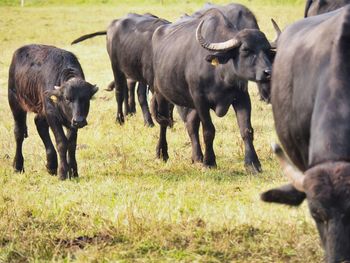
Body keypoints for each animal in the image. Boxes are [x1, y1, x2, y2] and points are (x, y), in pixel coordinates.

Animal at [8, 44, 98, 180]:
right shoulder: (52, 115)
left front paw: (74, 171)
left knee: (39, 123)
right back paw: (18, 166)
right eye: (67, 98)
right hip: (15, 103)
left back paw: (51, 165)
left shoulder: (71, 122)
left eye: (86, 99)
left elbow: (71, 144)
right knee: (19, 133)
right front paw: (63, 173)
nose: (80, 121)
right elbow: (62, 142)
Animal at [152, 7, 278, 172]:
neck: (221, 75)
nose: (268, 72)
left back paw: (197, 157)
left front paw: (253, 163)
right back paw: (162, 153)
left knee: (191, 125)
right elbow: (208, 130)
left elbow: (246, 129)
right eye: (245, 50)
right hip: (161, 94)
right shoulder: (200, 100)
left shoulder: (242, 98)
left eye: (267, 50)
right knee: (163, 122)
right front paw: (210, 162)